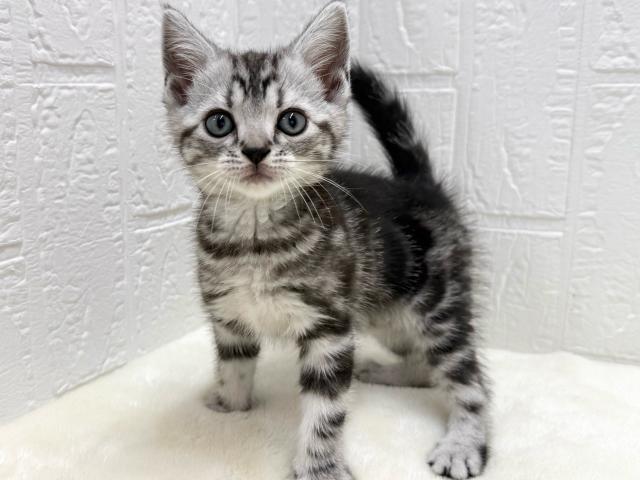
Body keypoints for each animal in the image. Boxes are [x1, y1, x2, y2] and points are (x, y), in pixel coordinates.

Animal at [162, 2, 490, 479]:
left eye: (291, 121)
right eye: (219, 122)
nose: (256, 150)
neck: (256, 242)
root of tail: (418, 183)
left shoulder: (330, 327)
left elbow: (326, 410)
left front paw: (320, 467)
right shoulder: (229, 317)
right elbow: (234, 368)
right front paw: (228, 408)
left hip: (438, 304)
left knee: (466, 375)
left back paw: (464, 441)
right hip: (384, 309)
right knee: (424, 363)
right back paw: (393, 372)